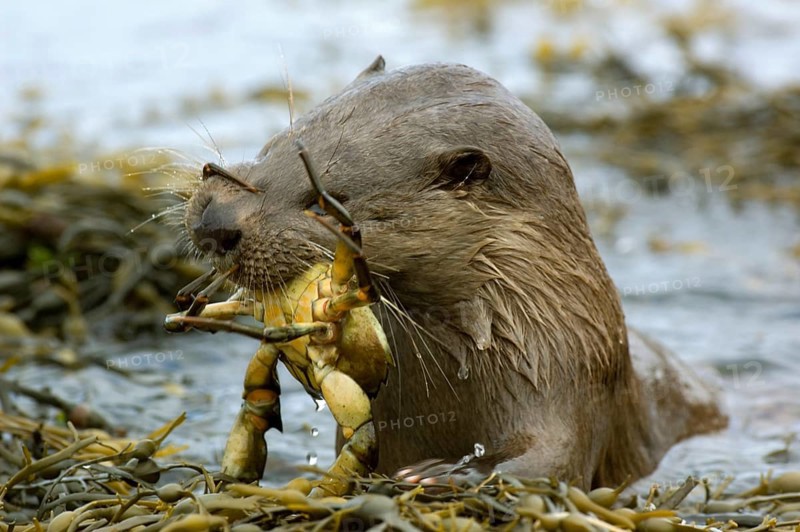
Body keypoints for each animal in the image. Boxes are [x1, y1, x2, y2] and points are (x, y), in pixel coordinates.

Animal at [181, 56, 727, 488]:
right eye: (272, 145)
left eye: (325, 202)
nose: (215, 223)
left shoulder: (569, 387)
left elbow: (548, 467)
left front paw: (443, 474)